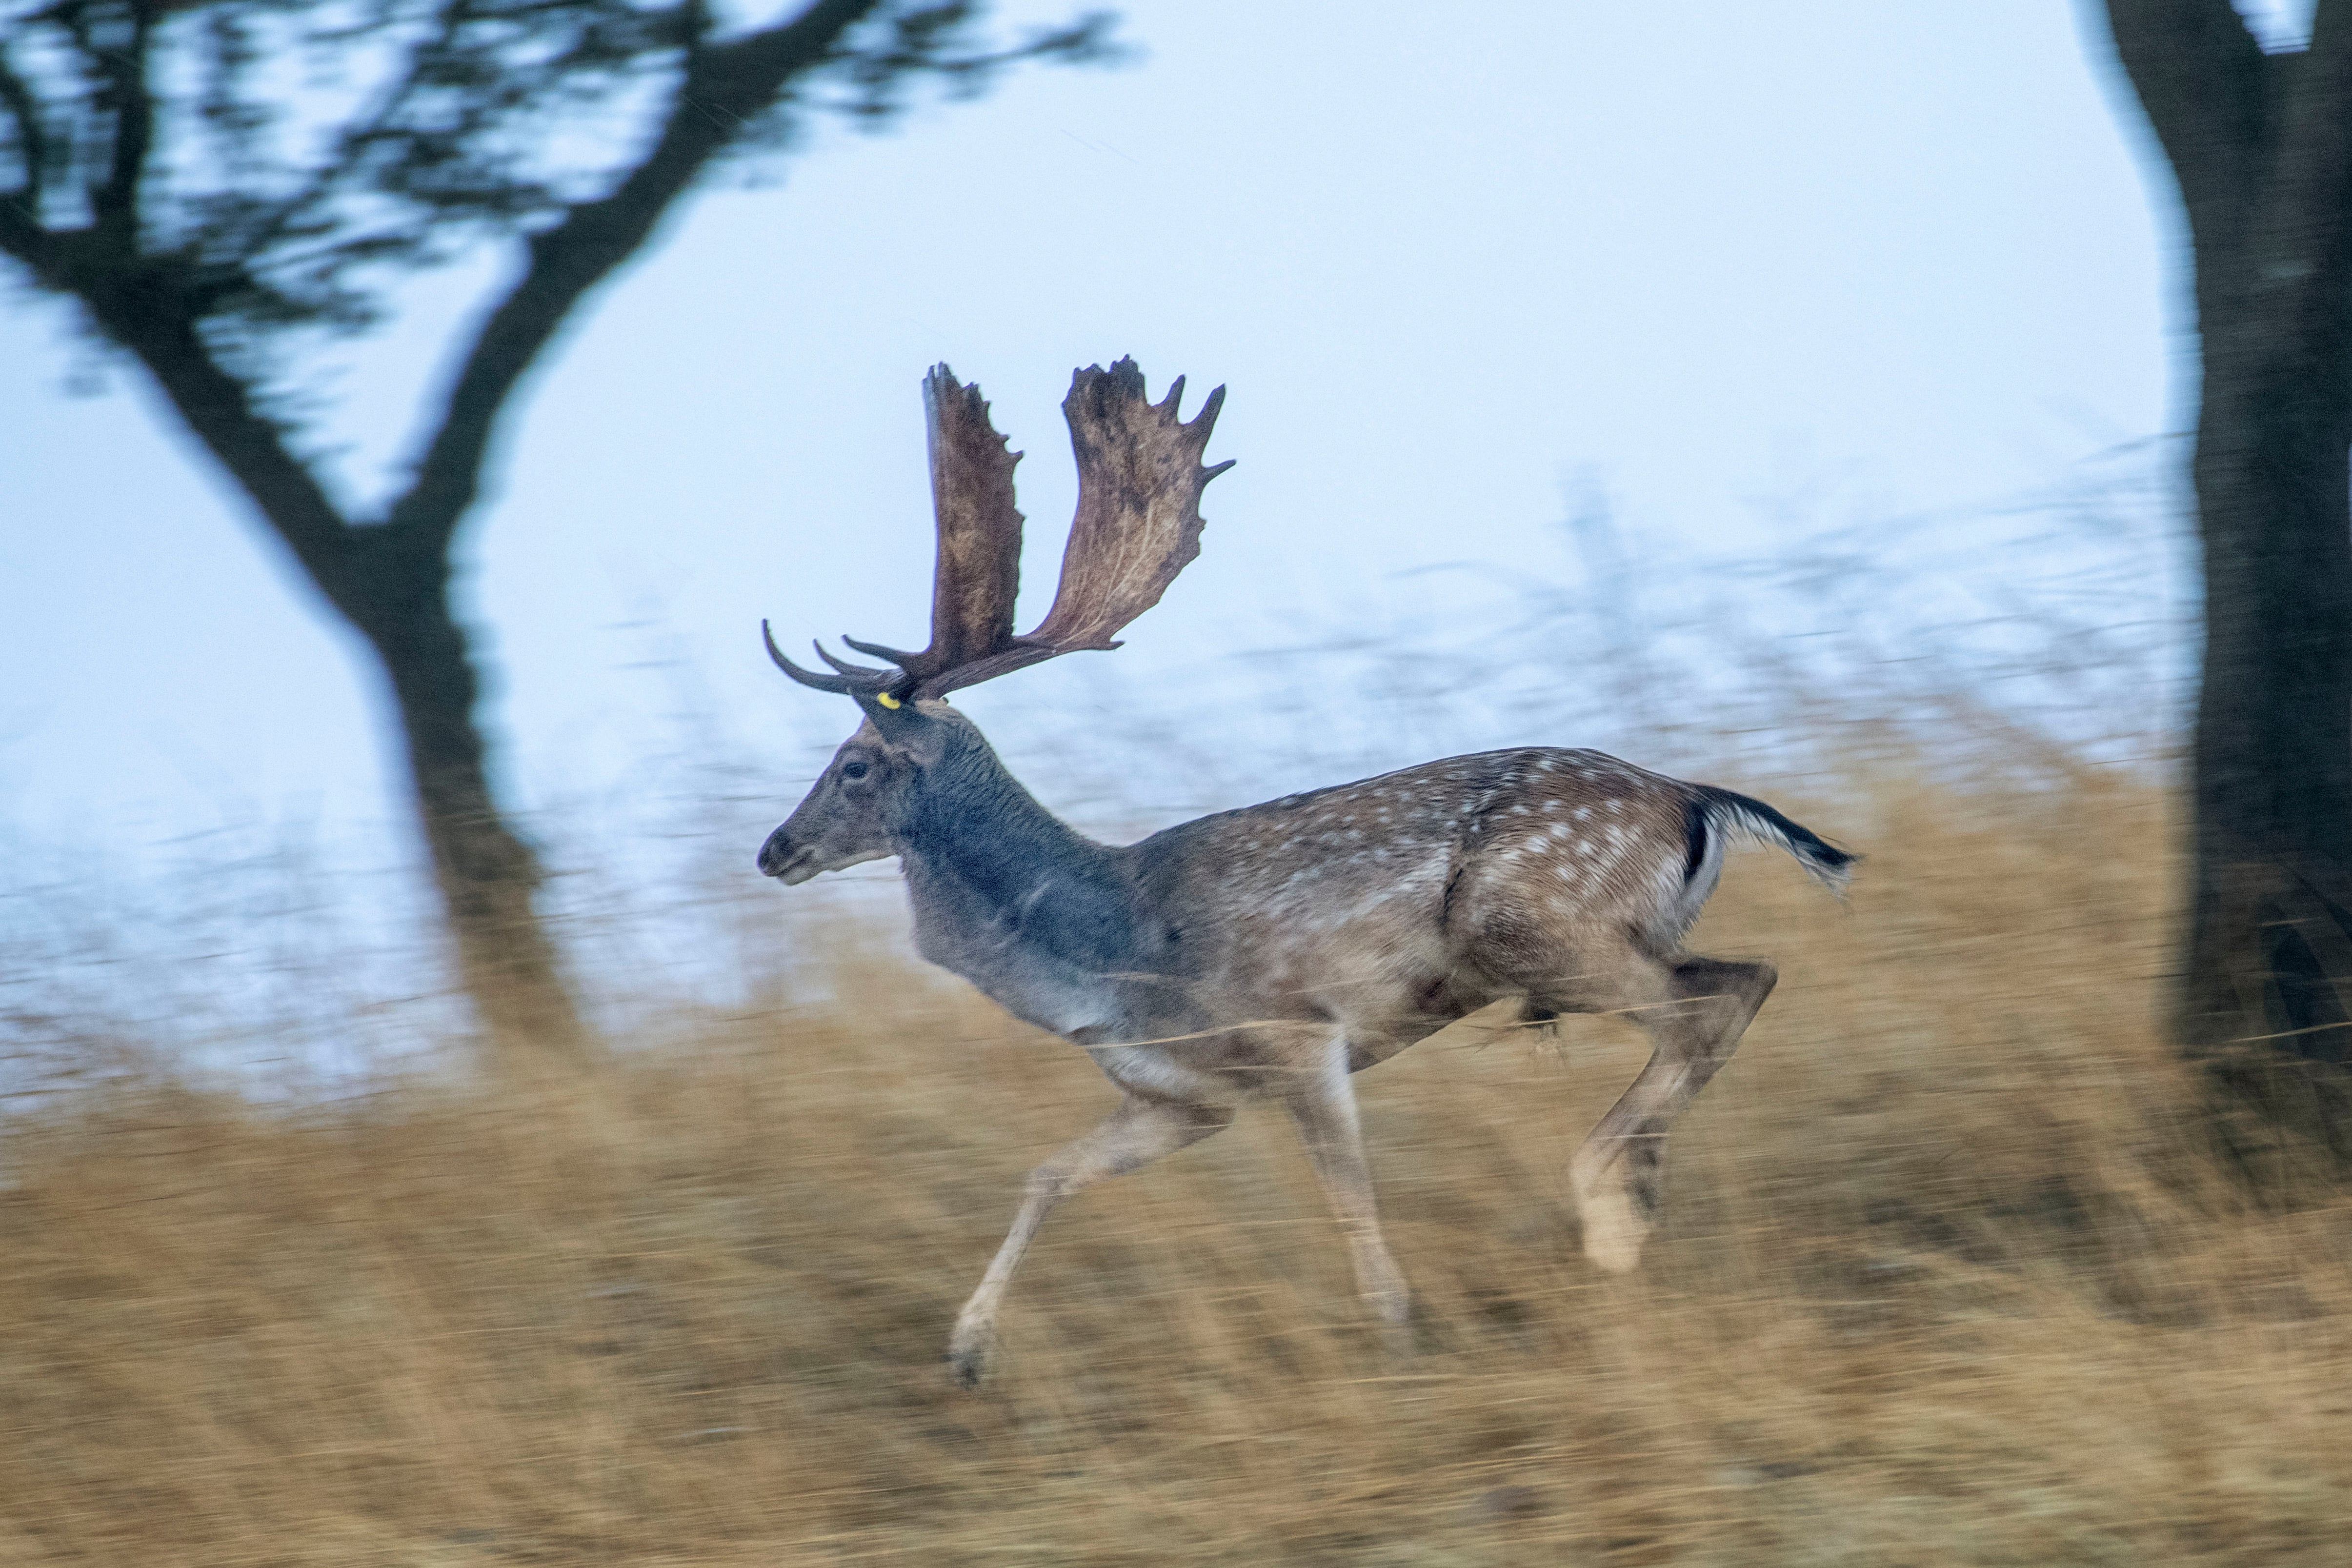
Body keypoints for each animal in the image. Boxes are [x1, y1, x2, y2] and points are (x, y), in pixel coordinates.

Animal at [762, 355, 1844, 1382]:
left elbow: (1348, 1198)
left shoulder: (1297, 1034)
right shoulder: (1184, 1097)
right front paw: (967, 1351)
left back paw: (1607, 1206)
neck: (1098, 955)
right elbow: (1048, 1171)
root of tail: (1698, 799)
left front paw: (1400, 1331)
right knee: (1733, 984)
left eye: (854, 761)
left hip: (1541, 929)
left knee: (1718, 996)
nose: (776, 848)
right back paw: (1625, 1196)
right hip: (1591, 944)